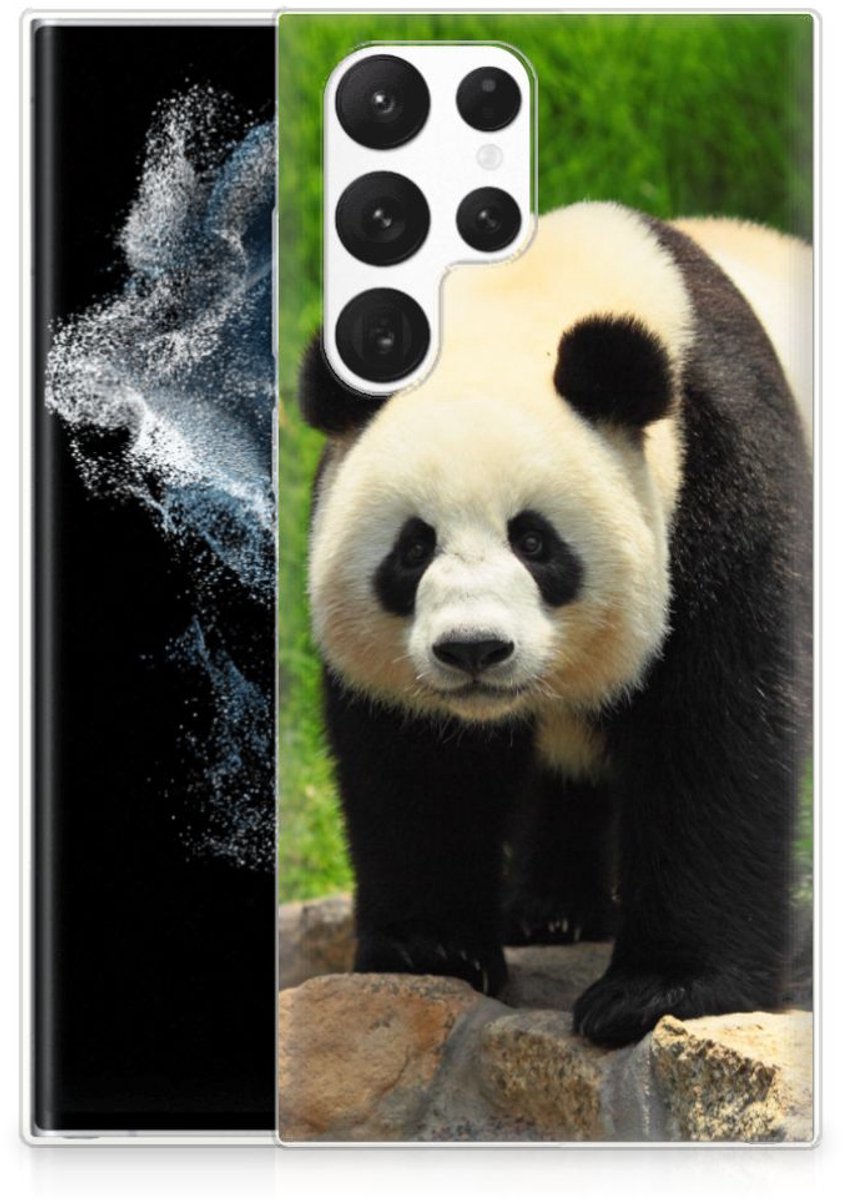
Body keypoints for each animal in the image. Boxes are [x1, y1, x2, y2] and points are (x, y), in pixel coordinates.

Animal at [298, 201, 812, 1047]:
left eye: (534, 542)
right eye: (413, 548)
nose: (474, 649)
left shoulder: (722, 478)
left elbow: (716, 733)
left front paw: (657, 991)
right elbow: (417, 763)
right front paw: (431, 949)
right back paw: (550, 911)